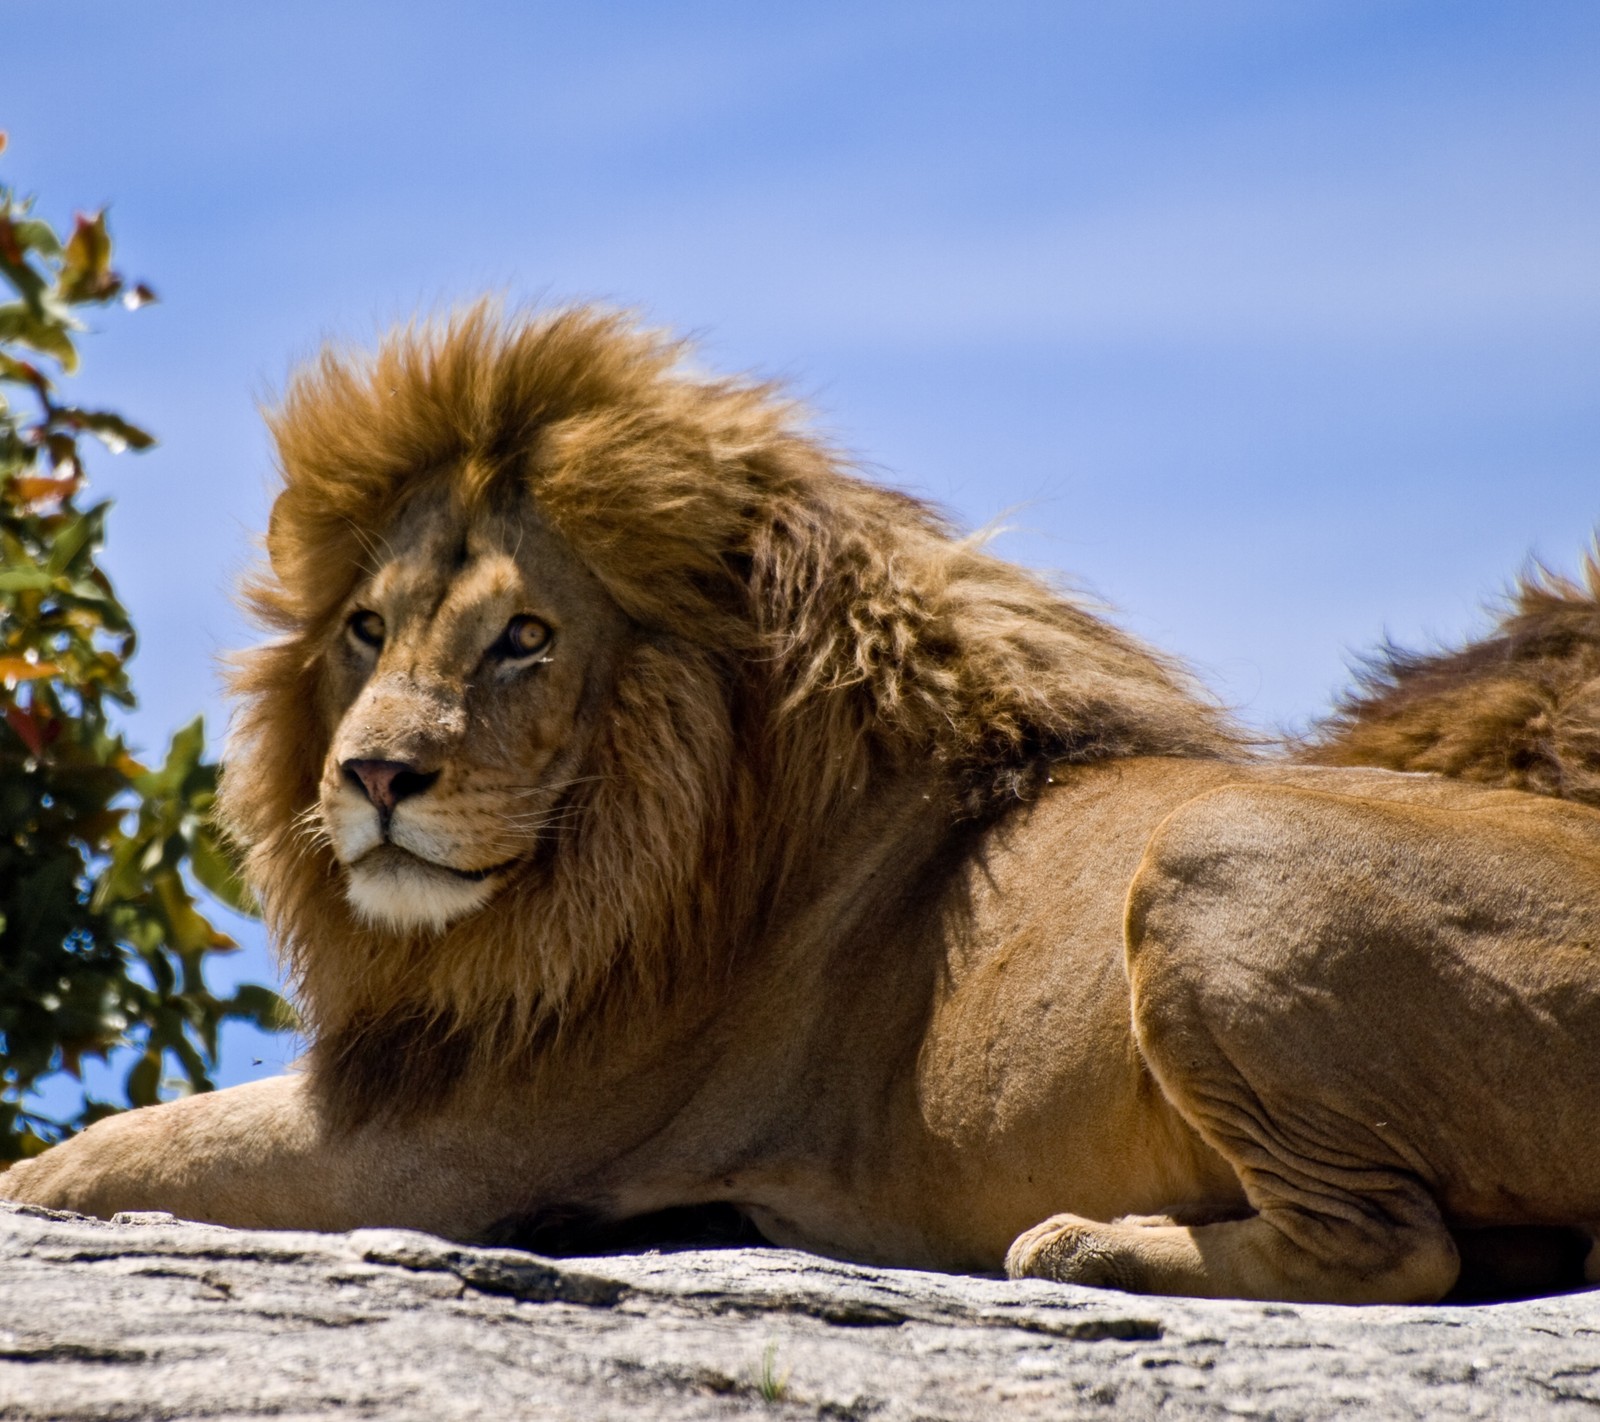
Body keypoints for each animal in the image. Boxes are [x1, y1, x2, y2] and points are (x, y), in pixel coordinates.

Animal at [3, 305, 1600, 1305]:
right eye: (365, 630)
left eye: (524, 637)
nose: (376, 776)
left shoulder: (444, 1147)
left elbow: (101, 1153)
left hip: (1209, 848)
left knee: (1396, 1251)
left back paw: (1083, 1248)